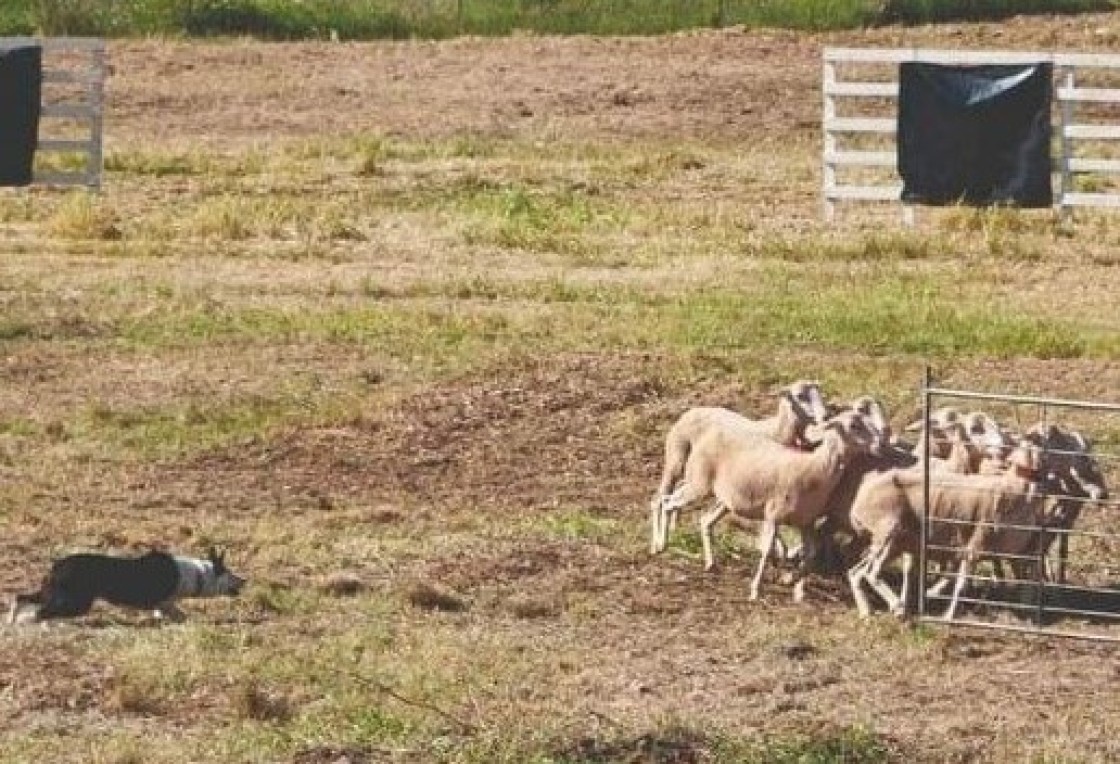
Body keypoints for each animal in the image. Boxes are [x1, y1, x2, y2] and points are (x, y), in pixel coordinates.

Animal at [7, 544, 245, 622]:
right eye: (229, 573)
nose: (245, 580)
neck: (198, 574)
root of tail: (58, 565)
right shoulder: (165, 602)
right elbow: (182, 615)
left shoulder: (163, 606)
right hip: (77, 602)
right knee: (42, 612)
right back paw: (36, 622)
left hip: (53, 593)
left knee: (22, 597)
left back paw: (13, 620)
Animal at [658, 410, 878, 600]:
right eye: (854, 425)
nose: (878, 444)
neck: (815, 470)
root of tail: (707, 436)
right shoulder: (773, 516)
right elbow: (767, 550)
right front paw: (756, 589)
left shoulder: (805, 522)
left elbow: (810, 555)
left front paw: (795, 586)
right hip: (699, 484)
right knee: (667, 502)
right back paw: (660, 545)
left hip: (725, 500)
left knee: (704, 520)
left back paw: (710, 563)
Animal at [846, 441, 1048, 618]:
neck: (1015, 491)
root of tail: (859, 498)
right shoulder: (975, 545)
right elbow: (961, 584)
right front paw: (949, 616)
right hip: (889, 529)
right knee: (871, 573)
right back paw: (896, 606)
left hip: (897, 541)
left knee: (856, 572)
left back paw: (867, 611)